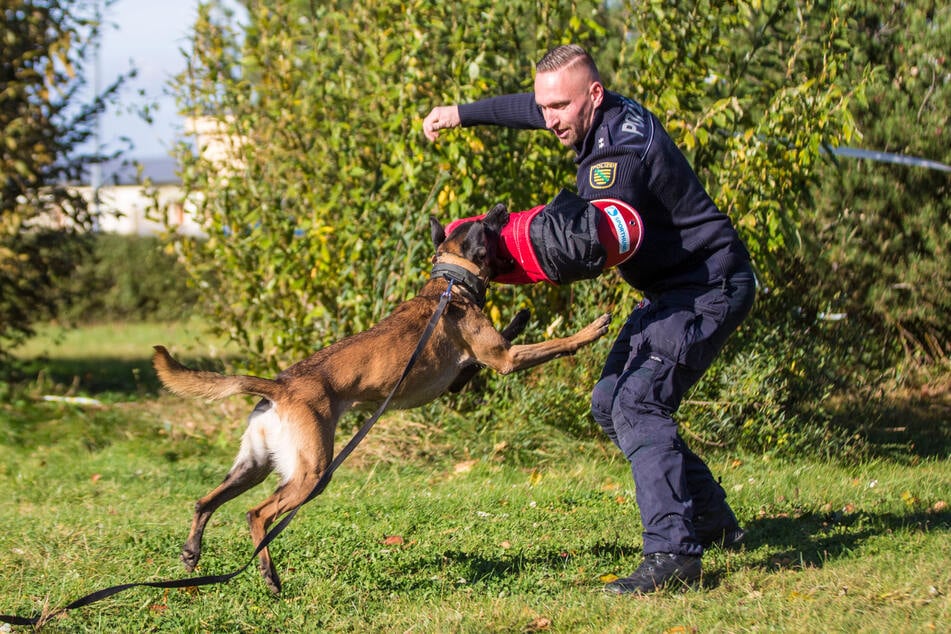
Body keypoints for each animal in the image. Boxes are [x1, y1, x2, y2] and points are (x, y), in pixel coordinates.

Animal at [149, 204, 608, 592]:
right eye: (487, 223)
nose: (500, 207)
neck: (449, 284)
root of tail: (279, 387)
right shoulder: (505, 359)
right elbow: (555, 344)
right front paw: (590, 331)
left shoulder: (467, 373)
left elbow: (505, 338)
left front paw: (524, 314)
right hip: (312, 472)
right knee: (256, 514)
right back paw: (269, 575)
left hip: (254, 465)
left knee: (205, 501)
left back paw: (192, 553)